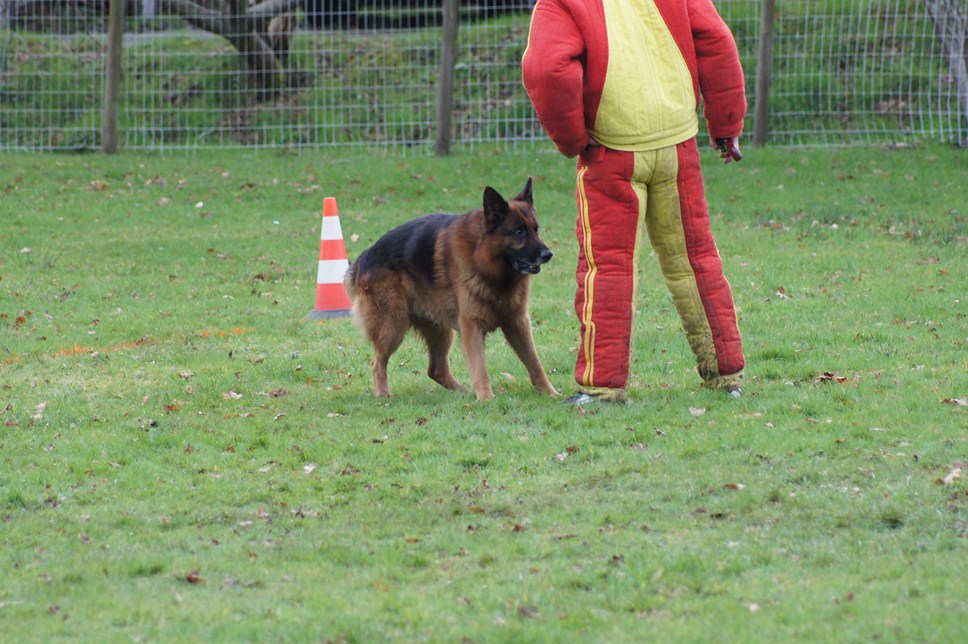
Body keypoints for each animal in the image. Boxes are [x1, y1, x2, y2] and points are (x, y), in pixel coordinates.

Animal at [346, 179, 560, 400]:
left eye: (536, 230)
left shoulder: (517, 323)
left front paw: (550, 393)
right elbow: (480, 367)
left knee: (436, 370)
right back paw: (382, 395)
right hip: (393, 326)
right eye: (519, 232)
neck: (484, 260)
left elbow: (534, 362)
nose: (548, 254)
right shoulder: (471, 326)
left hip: (440, 331)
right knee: (377, 362)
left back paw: (464, 393)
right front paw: (486, 398)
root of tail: (365, 256)